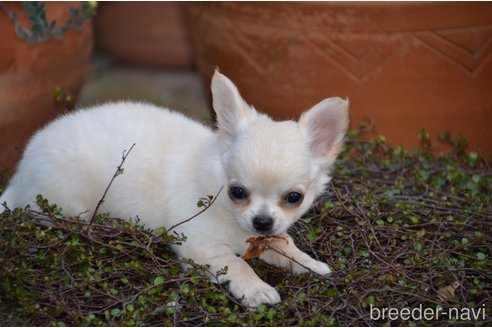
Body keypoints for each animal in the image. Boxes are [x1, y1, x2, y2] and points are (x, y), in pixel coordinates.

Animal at [0, 71, 348, 308]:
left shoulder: (267, 236)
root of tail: (21, 173)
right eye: (237, 192)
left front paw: (309, 263)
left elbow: (283, 244)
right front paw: (256, 288)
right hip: (68, 204)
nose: (262, 221)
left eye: (294, 198)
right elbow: (237, 263)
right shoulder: (201, 246)